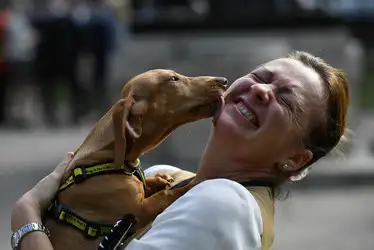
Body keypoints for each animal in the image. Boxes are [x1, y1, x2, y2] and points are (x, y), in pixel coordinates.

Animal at [43, 69, 225, 250]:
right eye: (173, 79)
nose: (223, 80)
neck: (107, 159)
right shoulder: (140, 212)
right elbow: (167, 194)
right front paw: (193, 183)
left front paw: (159, 179)